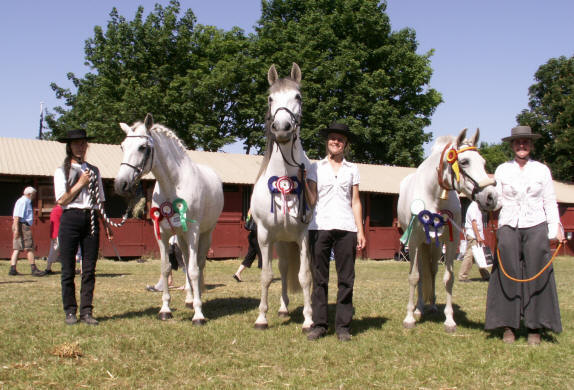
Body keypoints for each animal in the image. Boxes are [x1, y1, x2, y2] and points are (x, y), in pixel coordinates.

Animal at [115, 114, 225, 324]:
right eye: (123, 146)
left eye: (143, 147)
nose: (120, 184)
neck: (174, 185)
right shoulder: (163, 233)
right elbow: (166, 268)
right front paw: (165, 310)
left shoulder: (193, 232)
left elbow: (194, 270)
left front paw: (199, 314)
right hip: (180, 238)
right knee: (186, 261)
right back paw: (189, 299)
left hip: (205, 234)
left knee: (198, 264)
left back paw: (197, 298)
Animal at [400, 129, 500, 332]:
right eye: (464, 161)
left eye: (483, 162)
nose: (491, 197)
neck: (433, 194)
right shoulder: (413, 242)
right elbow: (414, 277)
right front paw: (409, 318)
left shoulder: (450, 243)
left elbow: (448, 278)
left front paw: (449, 320)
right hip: (421, 245)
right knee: (421, 275)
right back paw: (418, 309)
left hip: (434, 246)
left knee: (431, 272)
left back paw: (430, 306)